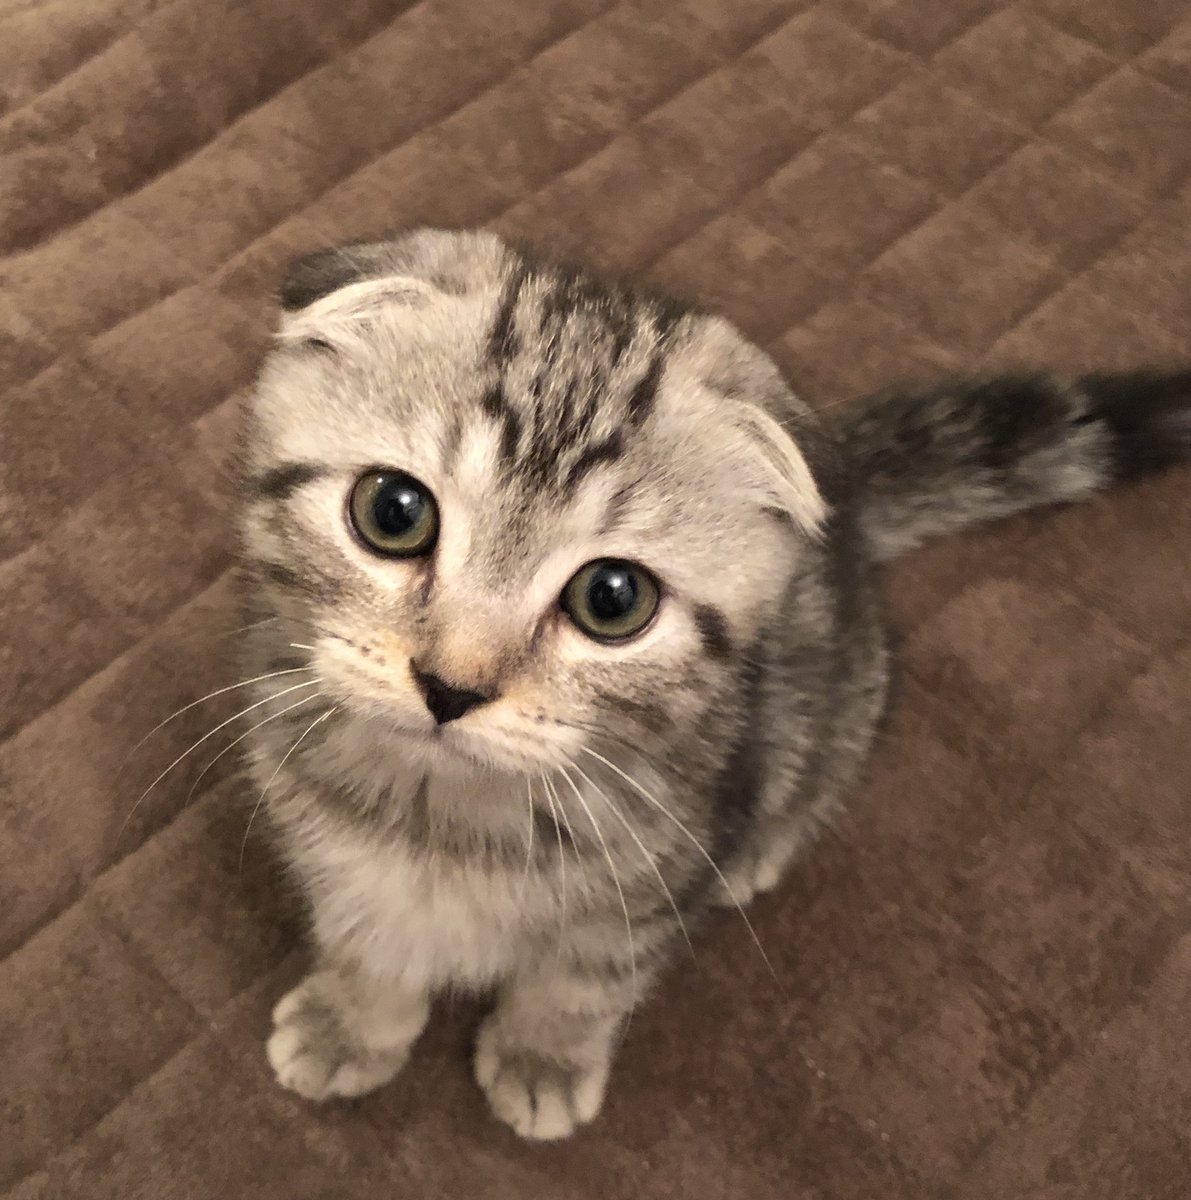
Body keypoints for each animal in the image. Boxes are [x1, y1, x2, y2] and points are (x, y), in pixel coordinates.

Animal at [236, 228, 1190, 1140]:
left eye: (611, 599)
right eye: (392, 512)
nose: (450, 686)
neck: (447, 819)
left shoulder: (647, 890)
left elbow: (580, 984)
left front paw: (543, 1057)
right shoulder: (317, 836)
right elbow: (363, 940)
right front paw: (350, 1024)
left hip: (838, 694)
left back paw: (757, 855)